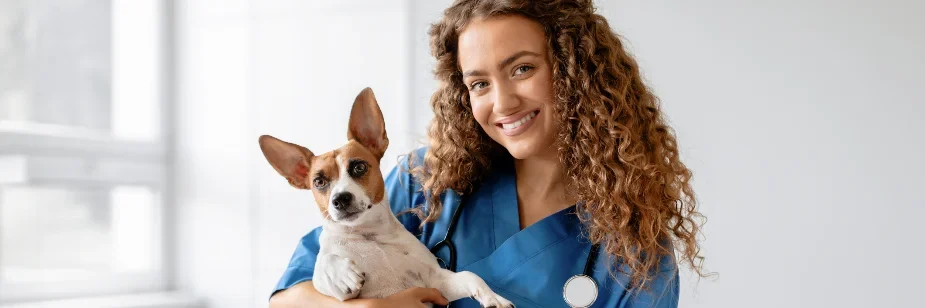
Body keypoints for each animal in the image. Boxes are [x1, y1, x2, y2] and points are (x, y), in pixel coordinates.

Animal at [256, 87, 512, 308]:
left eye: (359, 167)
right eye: (319, 182)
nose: (340, 199)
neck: (370, 236)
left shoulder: (437, 282)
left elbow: (471, 276)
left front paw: (494, 297)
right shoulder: (338, 295)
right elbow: (323, 262)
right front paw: (341, 274)